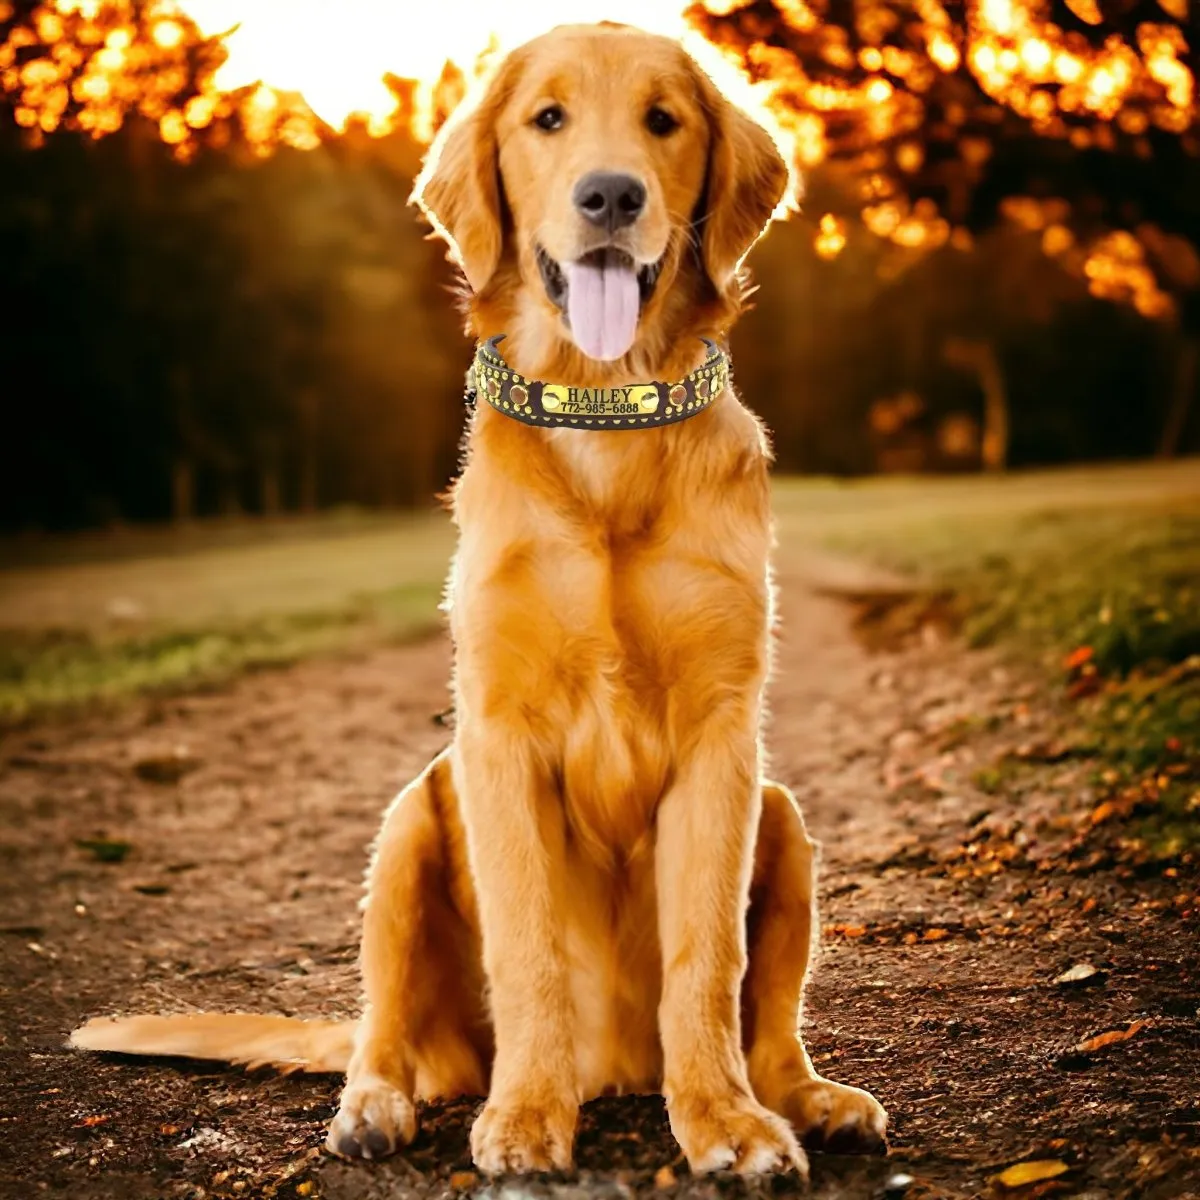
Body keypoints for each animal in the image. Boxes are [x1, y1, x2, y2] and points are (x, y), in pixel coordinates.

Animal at [68, 23, 892, 1176]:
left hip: (781, 816)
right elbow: (528, 946)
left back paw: (804, 1097)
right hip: (410, 823)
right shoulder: (497, 733)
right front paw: (527, 1116)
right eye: (547, 119)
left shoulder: (724, 736)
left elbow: (707, 956)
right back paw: (381, 1104)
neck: (604, 412)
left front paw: (723, 1123)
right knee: (383, 1027)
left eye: (664, 121)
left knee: (767, 1018)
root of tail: (617, 1069)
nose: (610, 195)